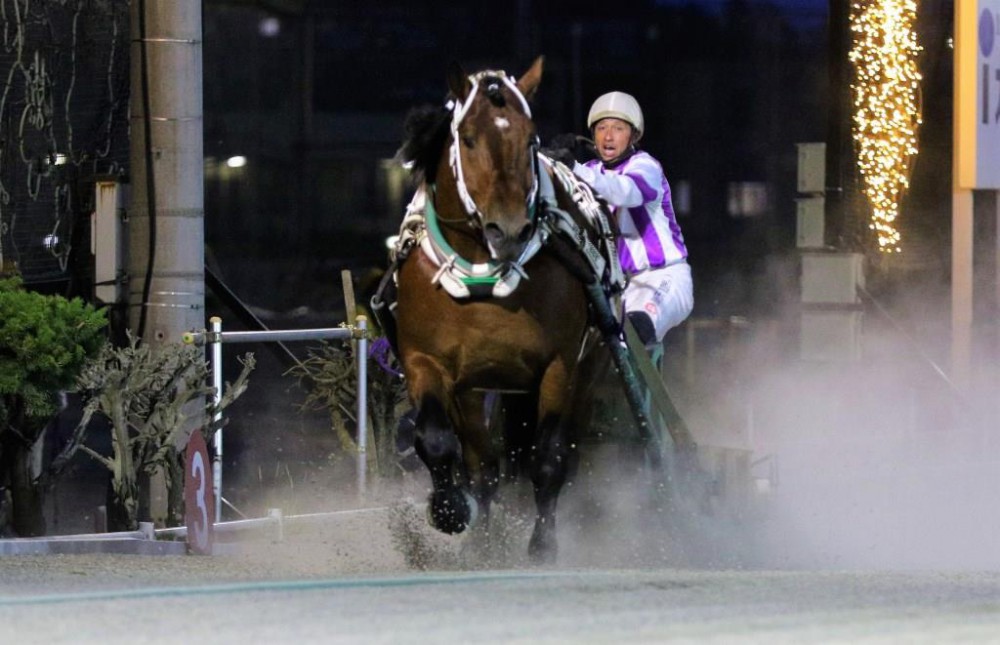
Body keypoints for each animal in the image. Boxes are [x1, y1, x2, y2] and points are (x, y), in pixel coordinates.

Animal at [390, 56, 616, 560]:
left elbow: (549, 457)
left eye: (530, 138)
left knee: (567, 452)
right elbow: (437, 441)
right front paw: (450, 511)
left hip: (591, 369)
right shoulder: (426, 359)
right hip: (476, 387)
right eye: (469, 138)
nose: (509, 228)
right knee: (483, 465)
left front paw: (543, 546)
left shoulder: (560, 366)